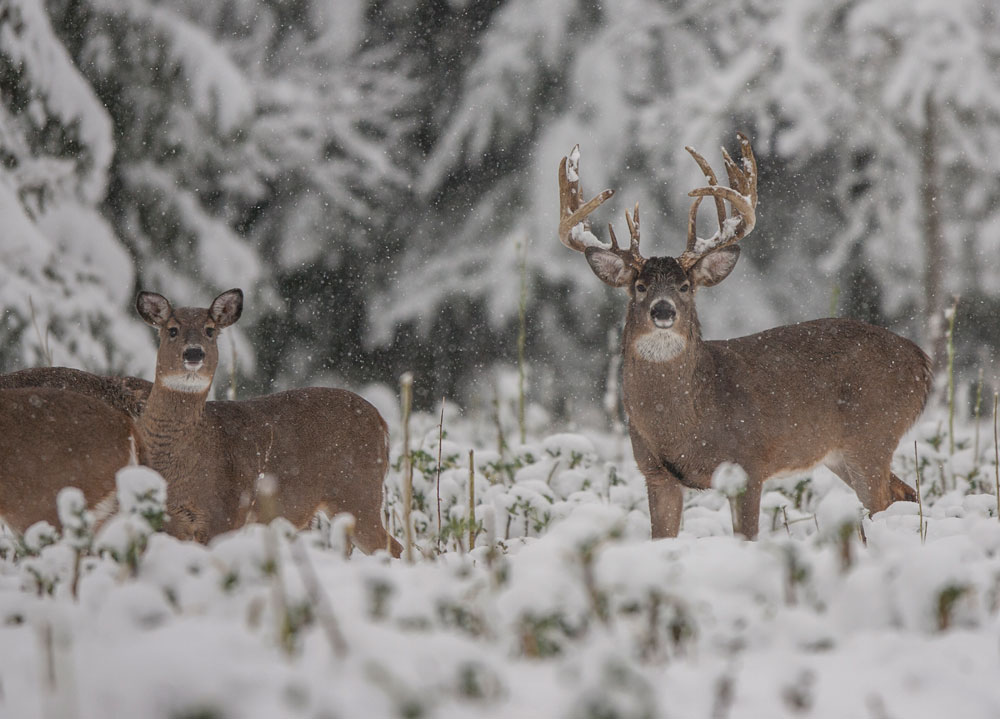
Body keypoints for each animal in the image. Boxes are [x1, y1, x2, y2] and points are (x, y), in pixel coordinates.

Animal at [133, 290, 402, 556]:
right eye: (172, 329)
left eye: (210, 330)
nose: (193, 352)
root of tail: (382, 422)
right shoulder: (172, 521)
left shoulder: (225, 512)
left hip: (358, 491)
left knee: (392, 546)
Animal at [560, 135, 932, 540]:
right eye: (639, 287)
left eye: (685, 286)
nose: (663, 311)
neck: (685, 424)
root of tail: (922, 362)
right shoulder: (654, 472)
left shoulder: (749, 464)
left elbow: (748, 535)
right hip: (842, 453)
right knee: (906, 494)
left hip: (873, 432)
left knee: (886, 501)